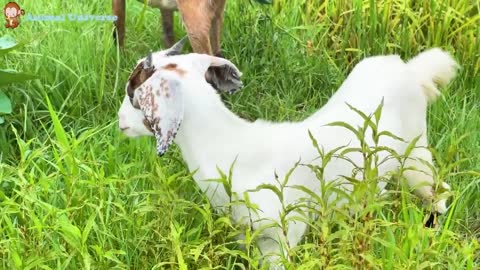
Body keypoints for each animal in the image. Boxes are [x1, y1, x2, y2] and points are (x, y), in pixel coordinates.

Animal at [117, 41, 458, 266]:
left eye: (133, 93)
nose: (119, 122)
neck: (231, 148)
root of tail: (410, 71)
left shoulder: (285, 233)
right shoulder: (246, 232)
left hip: (415, 154)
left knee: (439, 190)